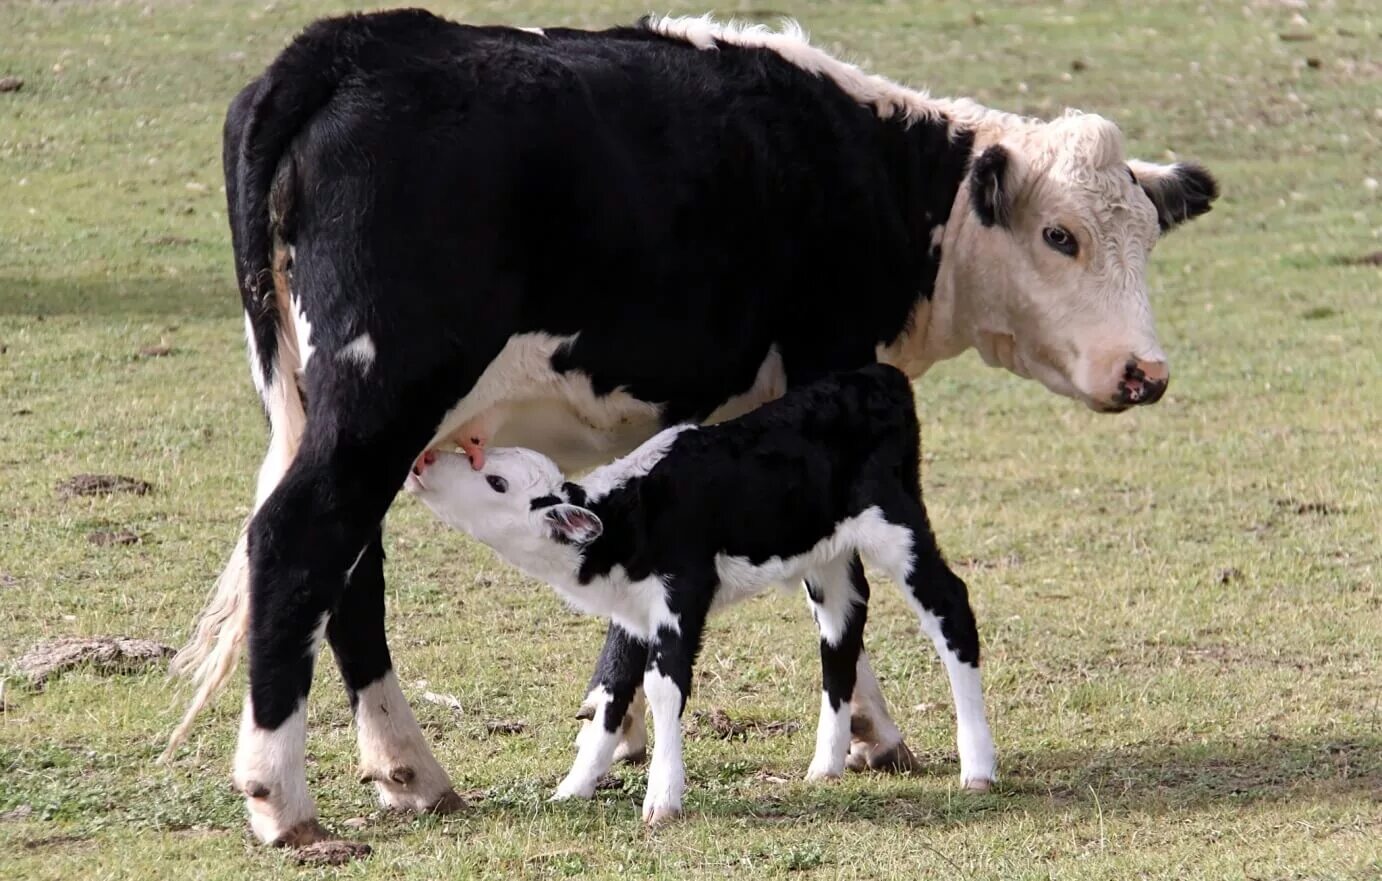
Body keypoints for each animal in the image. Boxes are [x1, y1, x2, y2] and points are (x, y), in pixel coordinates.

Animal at [403, 362, 989, 824]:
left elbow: (663, 688)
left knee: (950, 605)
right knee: (842, 628)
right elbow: (611, 691)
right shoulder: (632, 611)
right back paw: (825, 766)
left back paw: (978, 765)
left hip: (896, 522)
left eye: (497, 483)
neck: (628, 518)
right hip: (828, 557)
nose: (423, 461)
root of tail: (879, 376)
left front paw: (662, 799)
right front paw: (572, 788)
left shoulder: (681, 595)